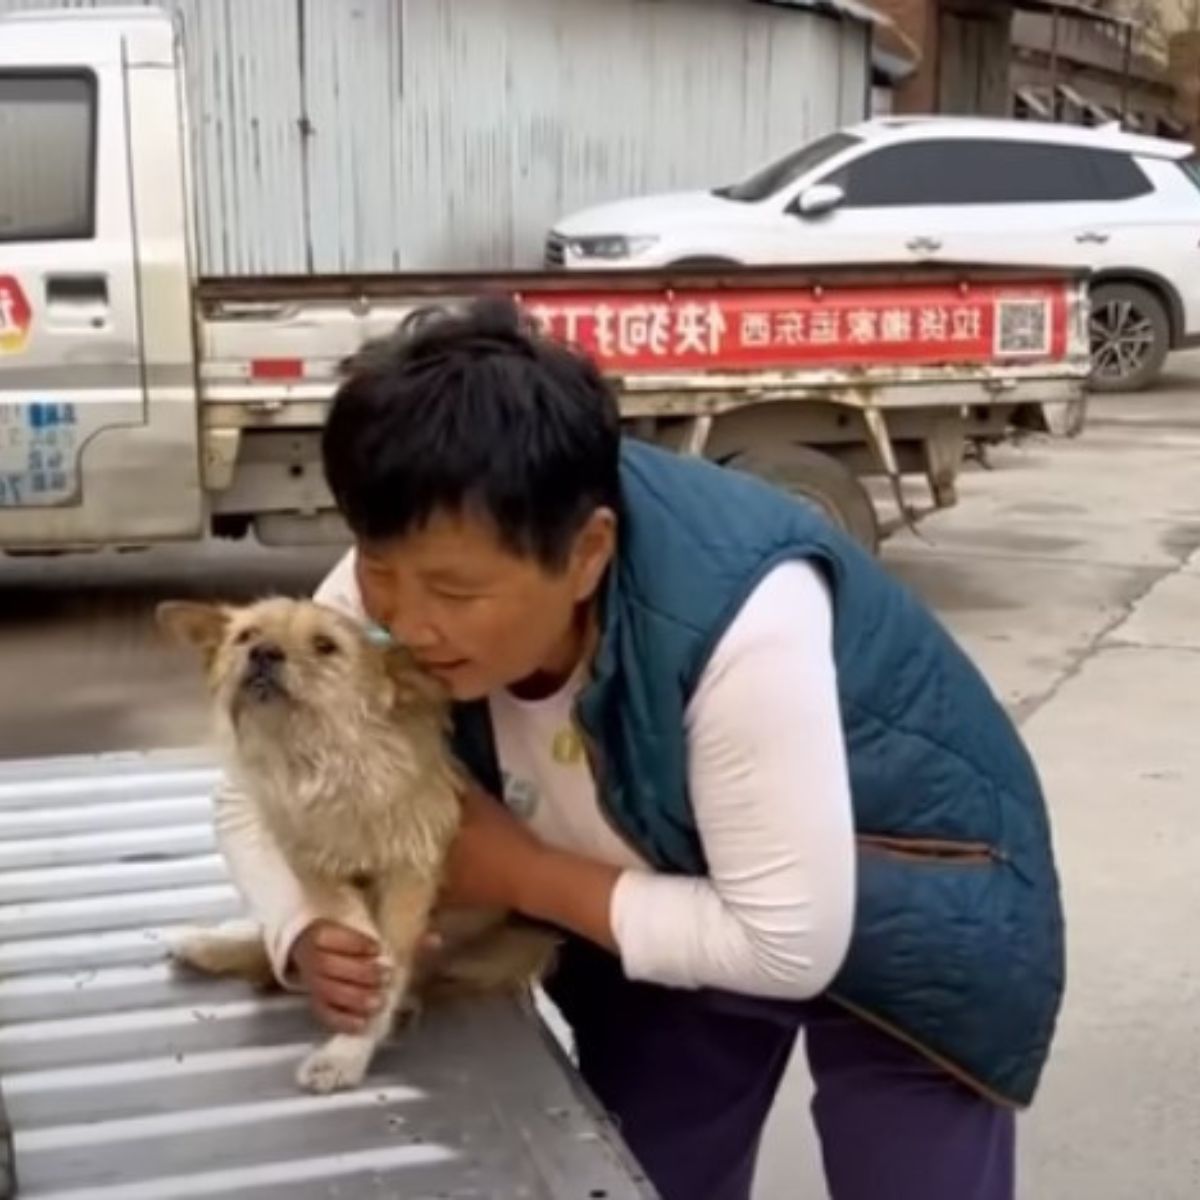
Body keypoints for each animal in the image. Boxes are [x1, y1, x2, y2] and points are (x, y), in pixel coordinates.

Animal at [154, 595, 556, 1094]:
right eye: (246, 635)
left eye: (325, 646)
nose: (263, 653)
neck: (326, 761)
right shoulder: (316, 869)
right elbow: (352, 938)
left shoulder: (409, 875)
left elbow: (388, 966)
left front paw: (348, 1051)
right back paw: (209, 943)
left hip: (512, 949)